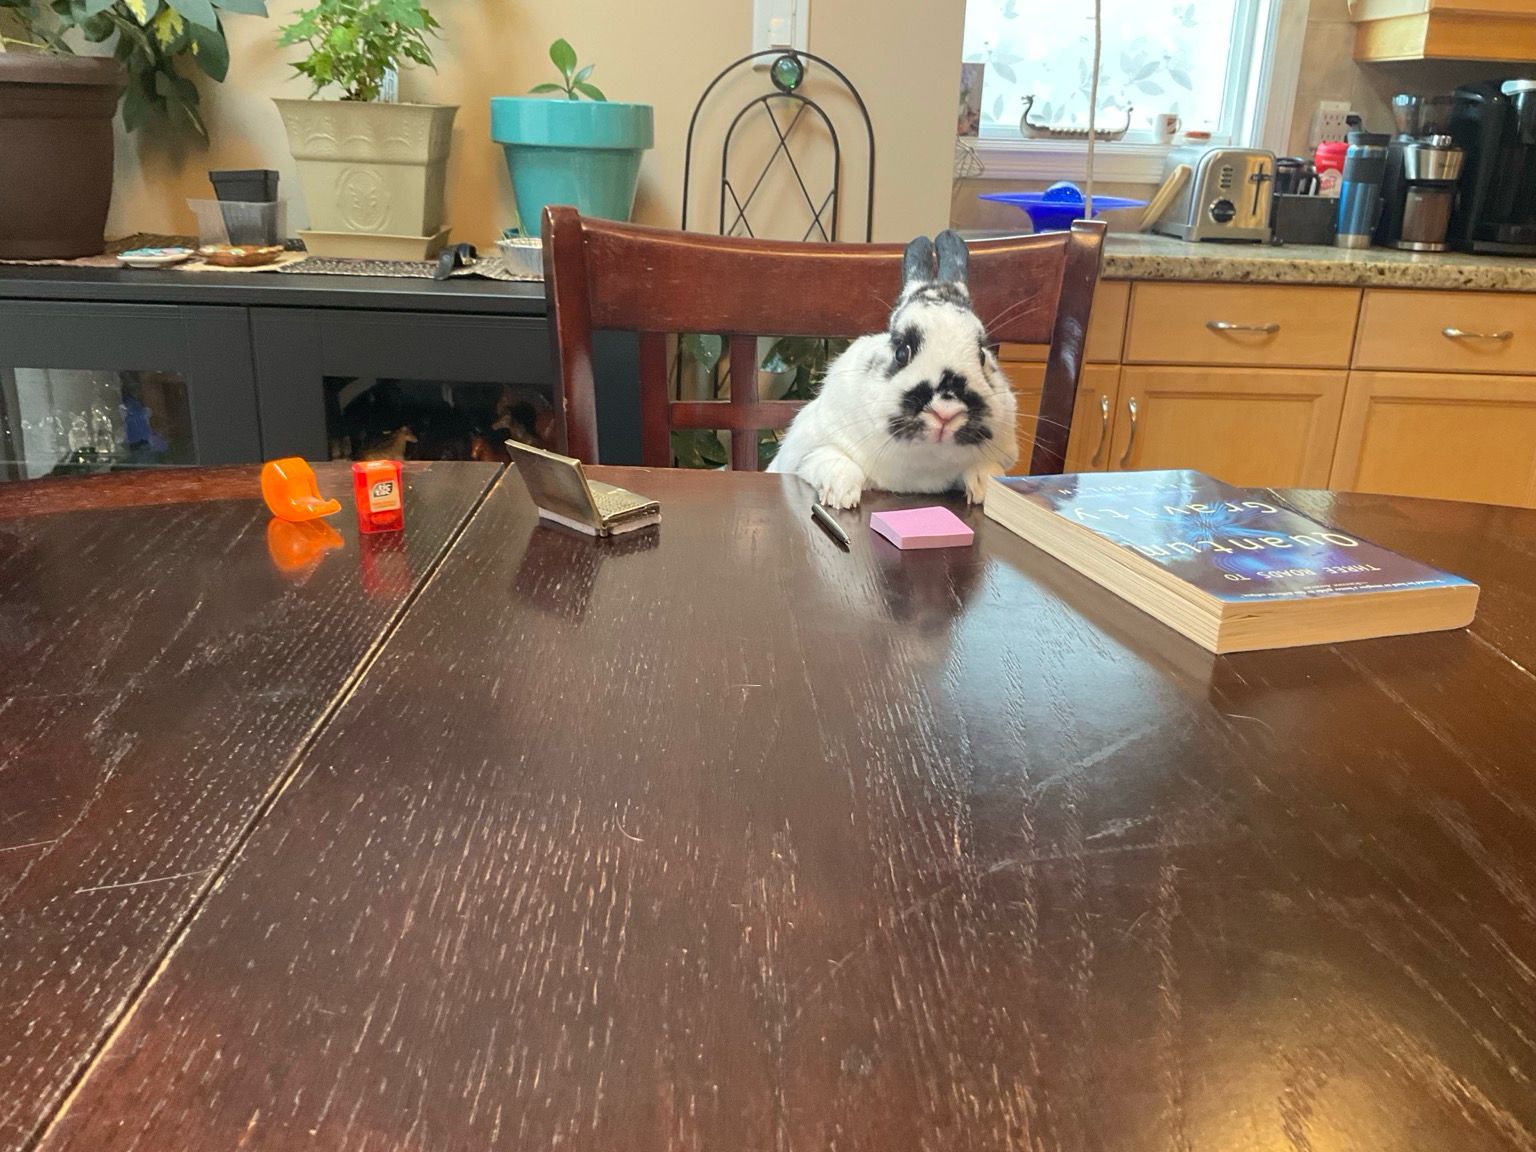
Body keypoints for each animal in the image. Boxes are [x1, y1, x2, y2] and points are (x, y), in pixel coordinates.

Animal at [766, 230, 1017, 510]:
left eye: (982, 355)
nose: (946, 412)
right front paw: (842, 495)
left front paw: (985, 488)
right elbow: (831, 459)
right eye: (901, 352)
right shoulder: (807, 449)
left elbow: (988, 467)